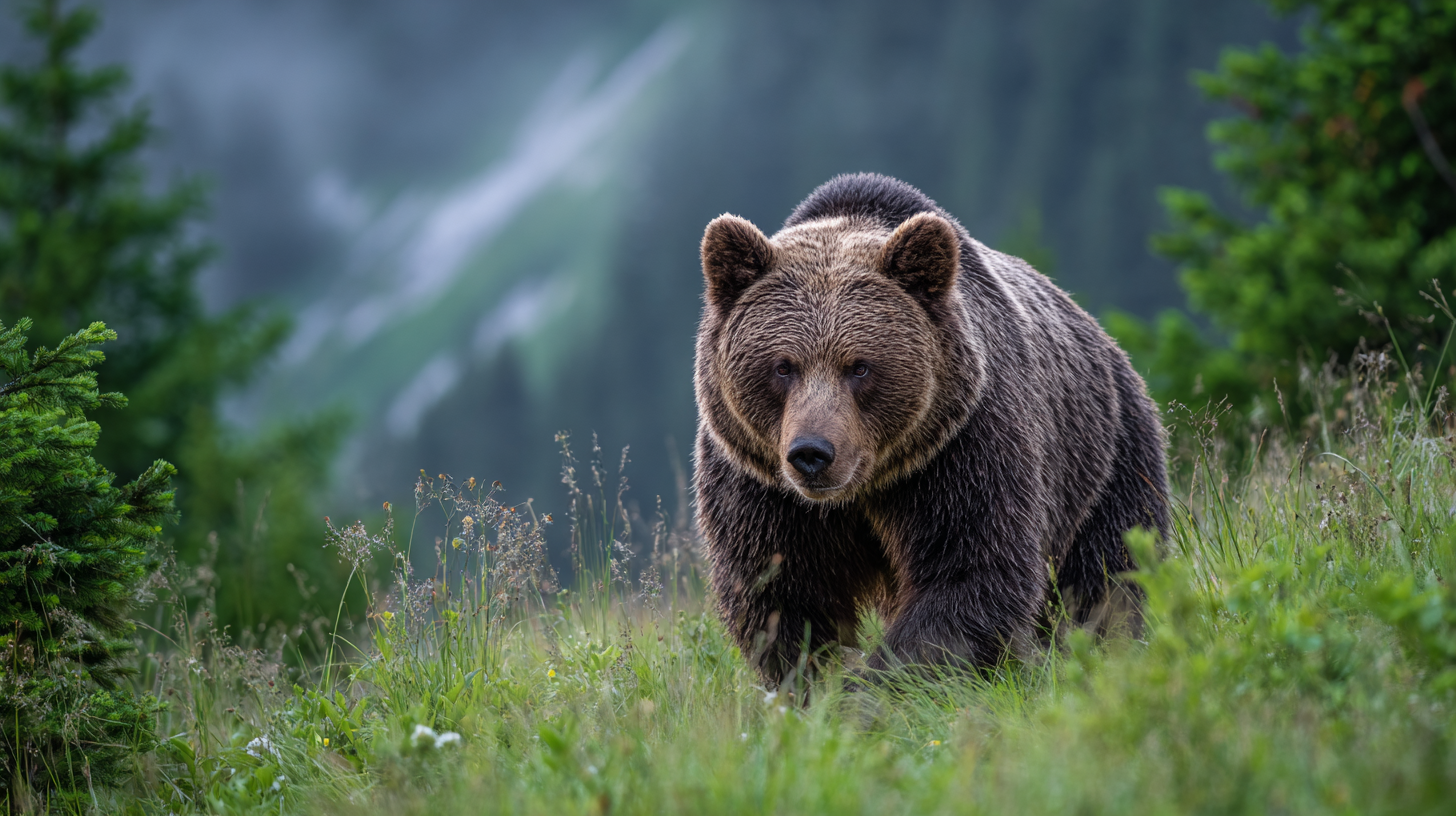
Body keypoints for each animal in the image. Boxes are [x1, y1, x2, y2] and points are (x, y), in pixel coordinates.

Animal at [692, 173, 1169, 686]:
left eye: (860, 366)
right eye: (783, 366)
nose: (812, 453)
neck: (864, 489)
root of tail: (1106, 341)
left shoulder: (961, 447)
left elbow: (968, 572)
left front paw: (878, 685)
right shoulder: (759, 480)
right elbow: (781, 592)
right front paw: (820, 682)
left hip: (1107, 461)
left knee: (1107, 578)